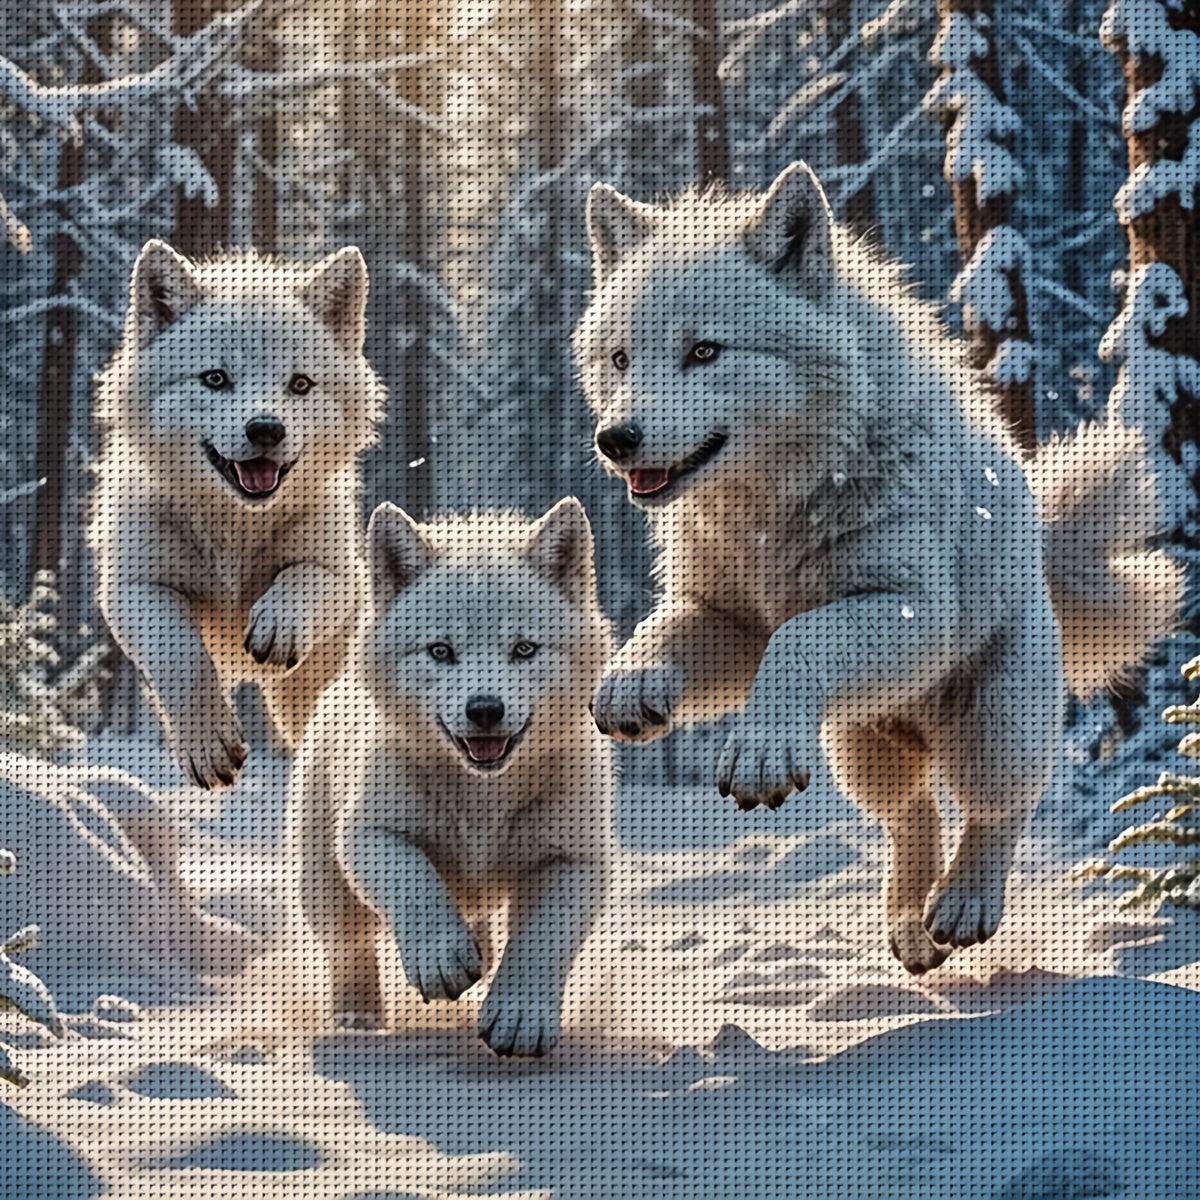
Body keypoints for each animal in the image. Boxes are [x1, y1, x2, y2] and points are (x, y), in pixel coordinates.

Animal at [91, 240, 385, 789]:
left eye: (299, 384)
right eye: (215, 379)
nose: (266, 429)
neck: (235, 529)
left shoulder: (343, 576)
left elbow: (301, 577)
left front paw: (277, 623)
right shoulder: (134, 589)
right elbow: (181, 654)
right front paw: (209, 746)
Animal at [287, 498, 614, 1057]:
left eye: (524, 649)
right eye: (441, 650)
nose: (484, 709)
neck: (481, 799)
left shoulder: (574, 860)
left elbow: (541, 939)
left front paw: (519, 1015)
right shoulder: (371, 835)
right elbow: (415, 881)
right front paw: (441, 958)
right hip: (323, 883)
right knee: (350, 943)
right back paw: (358, 1013)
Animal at [574, 161, 1184, 973]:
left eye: (704, 351)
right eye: (620, 359)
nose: (616, 438)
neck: (774, 509)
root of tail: (1043, 546)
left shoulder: (910, 610)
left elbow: (798, 638)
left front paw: (758, 752)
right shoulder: (727, 619)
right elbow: (655, 632)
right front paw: (630, 686)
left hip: (990, 725)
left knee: (994, 812)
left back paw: (961, 908)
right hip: (862, 744)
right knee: (912, 813)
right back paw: (908, 929)